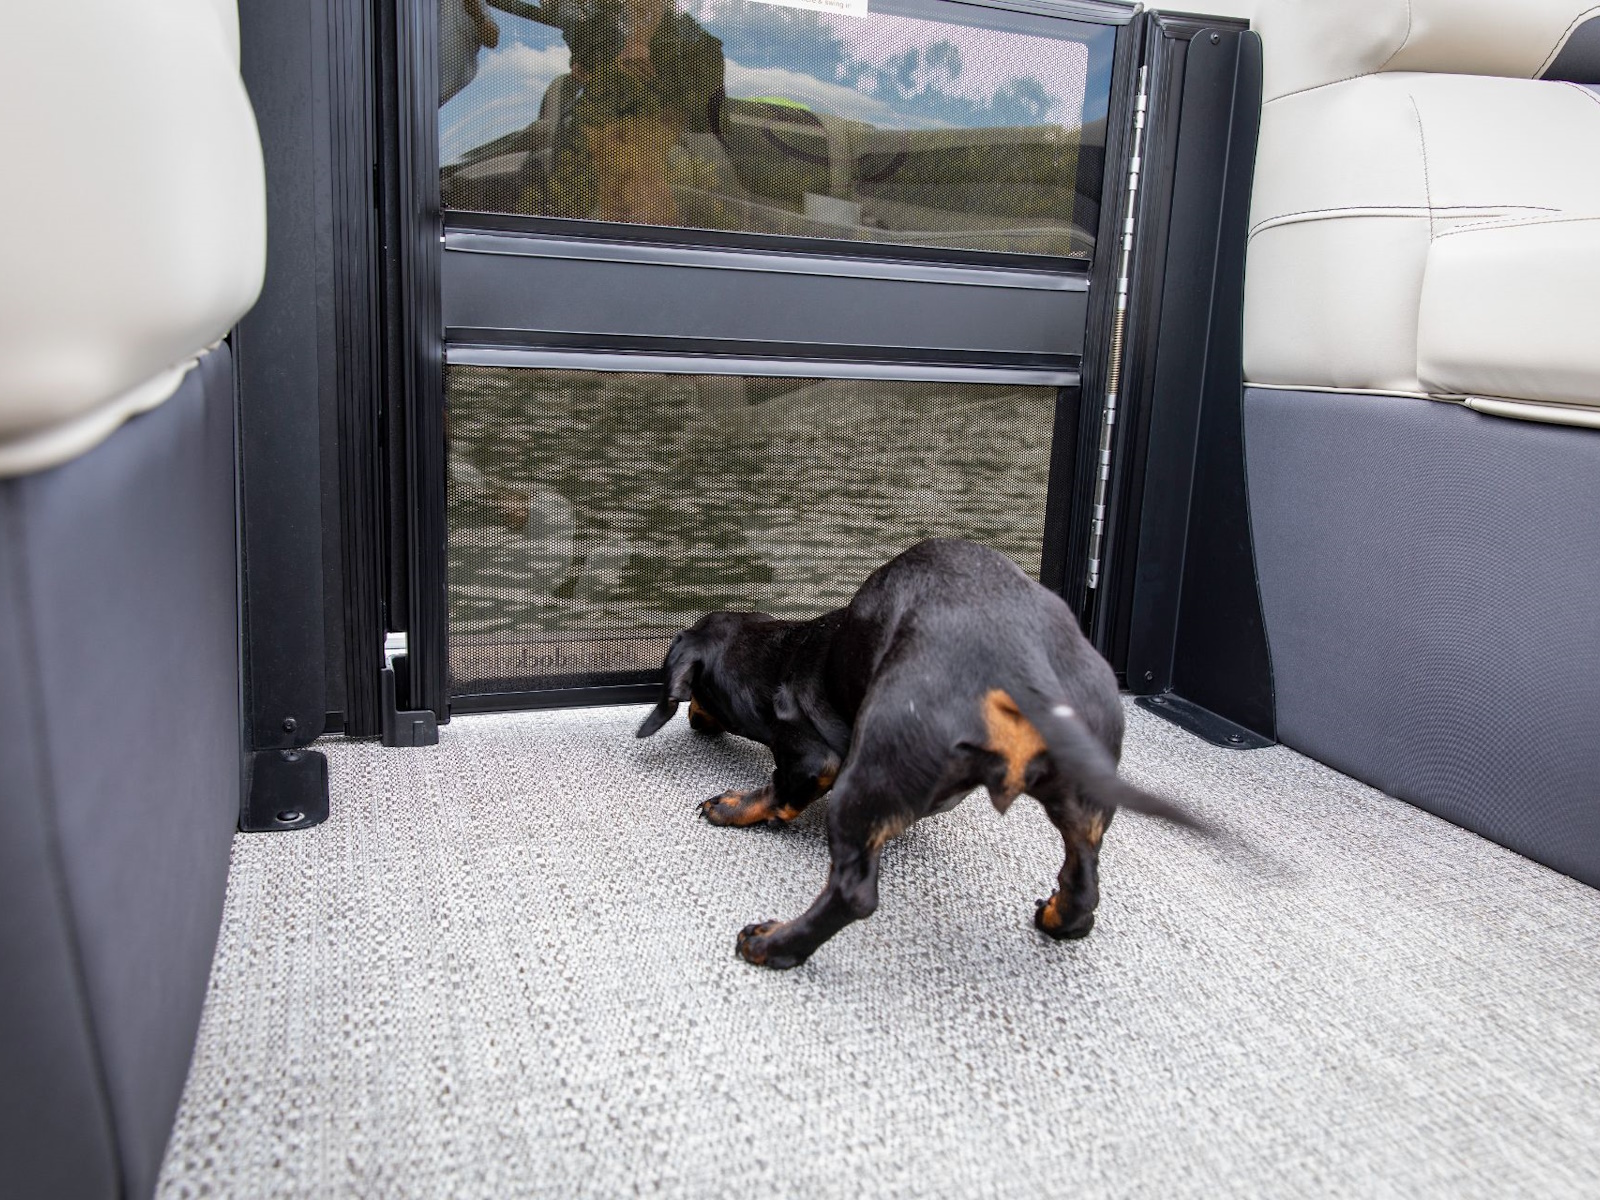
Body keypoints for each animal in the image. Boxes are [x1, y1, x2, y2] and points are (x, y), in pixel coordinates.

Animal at [636, 539, 1210, 969]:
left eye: (699, 696)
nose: (694, 720)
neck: (783, 654)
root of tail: (1018, 662)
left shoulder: (811, 761)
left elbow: (780, 792)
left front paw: (734, 806)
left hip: (865, 777)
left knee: (854, 894)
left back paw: (772, 944)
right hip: (1086, 799)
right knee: (1083, 884)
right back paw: (1057, 916)